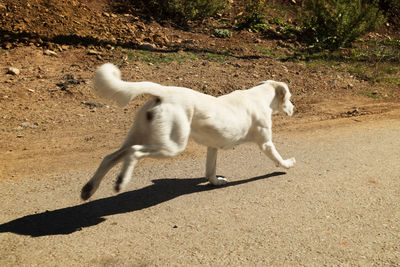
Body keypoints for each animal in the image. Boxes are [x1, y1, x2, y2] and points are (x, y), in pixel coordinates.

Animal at [81, 63, 296, 201]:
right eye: (289, 97)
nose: (294, 108)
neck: (260, 97)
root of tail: (163, 92)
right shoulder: (265, 143)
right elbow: (278, 157)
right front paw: (288, 164)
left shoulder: (212, 146)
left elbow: (210, 170)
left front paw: (216, 182)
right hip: (172, 146)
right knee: (134, 152)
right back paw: (120, 181)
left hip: (138, 135)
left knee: (110, 157)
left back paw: (89, 189)